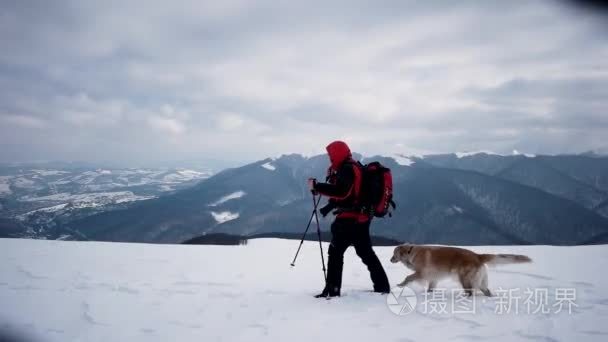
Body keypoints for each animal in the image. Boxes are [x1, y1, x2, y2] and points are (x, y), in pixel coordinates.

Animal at [392, 243, 528, 296]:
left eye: (394, 254)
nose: (390, 260)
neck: (411, 252)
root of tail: (478, 256)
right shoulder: (433, 278)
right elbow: (431, 287)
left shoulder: (421, 273)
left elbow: (408, 277)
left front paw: (400, 284)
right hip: (480, 282)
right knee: (486, 291)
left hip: (465, 279)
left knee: (470, 292)